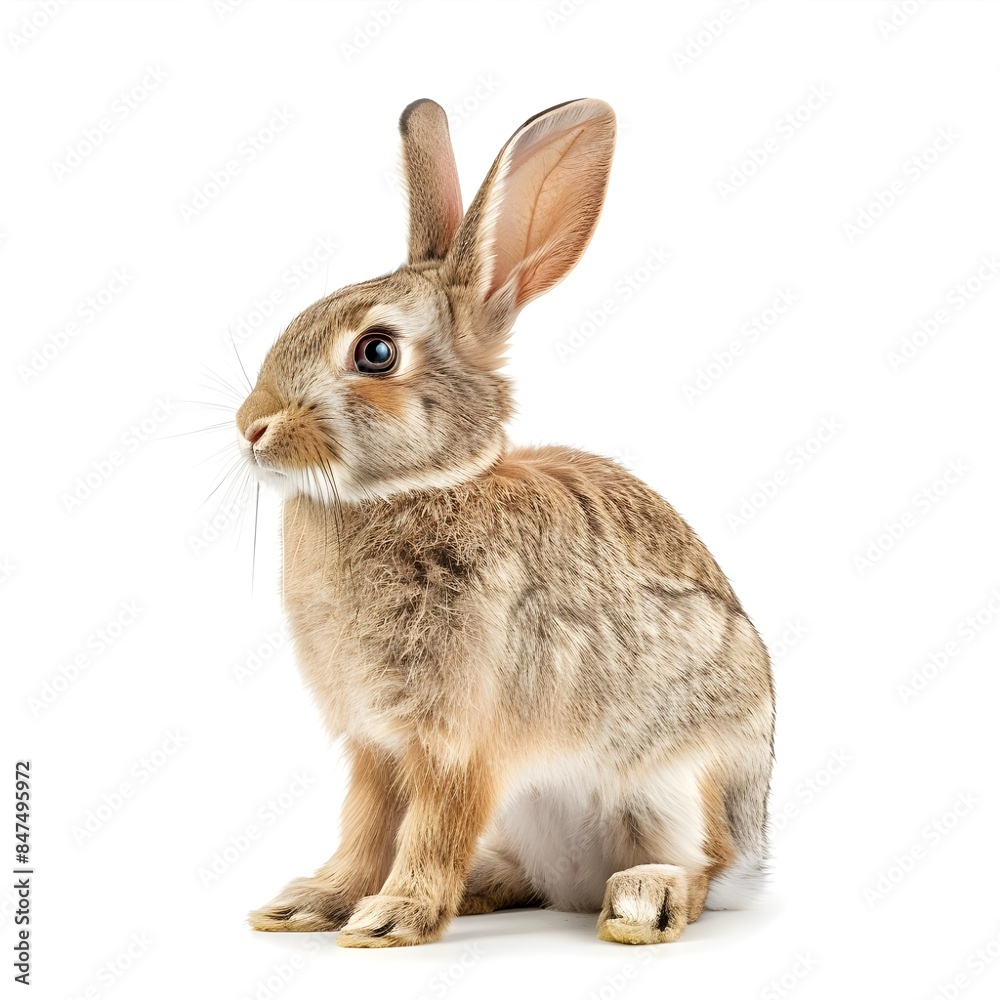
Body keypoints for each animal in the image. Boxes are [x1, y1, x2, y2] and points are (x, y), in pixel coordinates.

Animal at [239, 98, 774, 948]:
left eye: (376, 353)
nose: (250, 426)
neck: (417, 488)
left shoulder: (460, 741)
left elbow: (433, 829)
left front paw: (390, 918)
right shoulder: (374, 746)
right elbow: (364, 825)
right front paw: (314, 903)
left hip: (682, 786)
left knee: (700, 871)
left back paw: (641, 900)